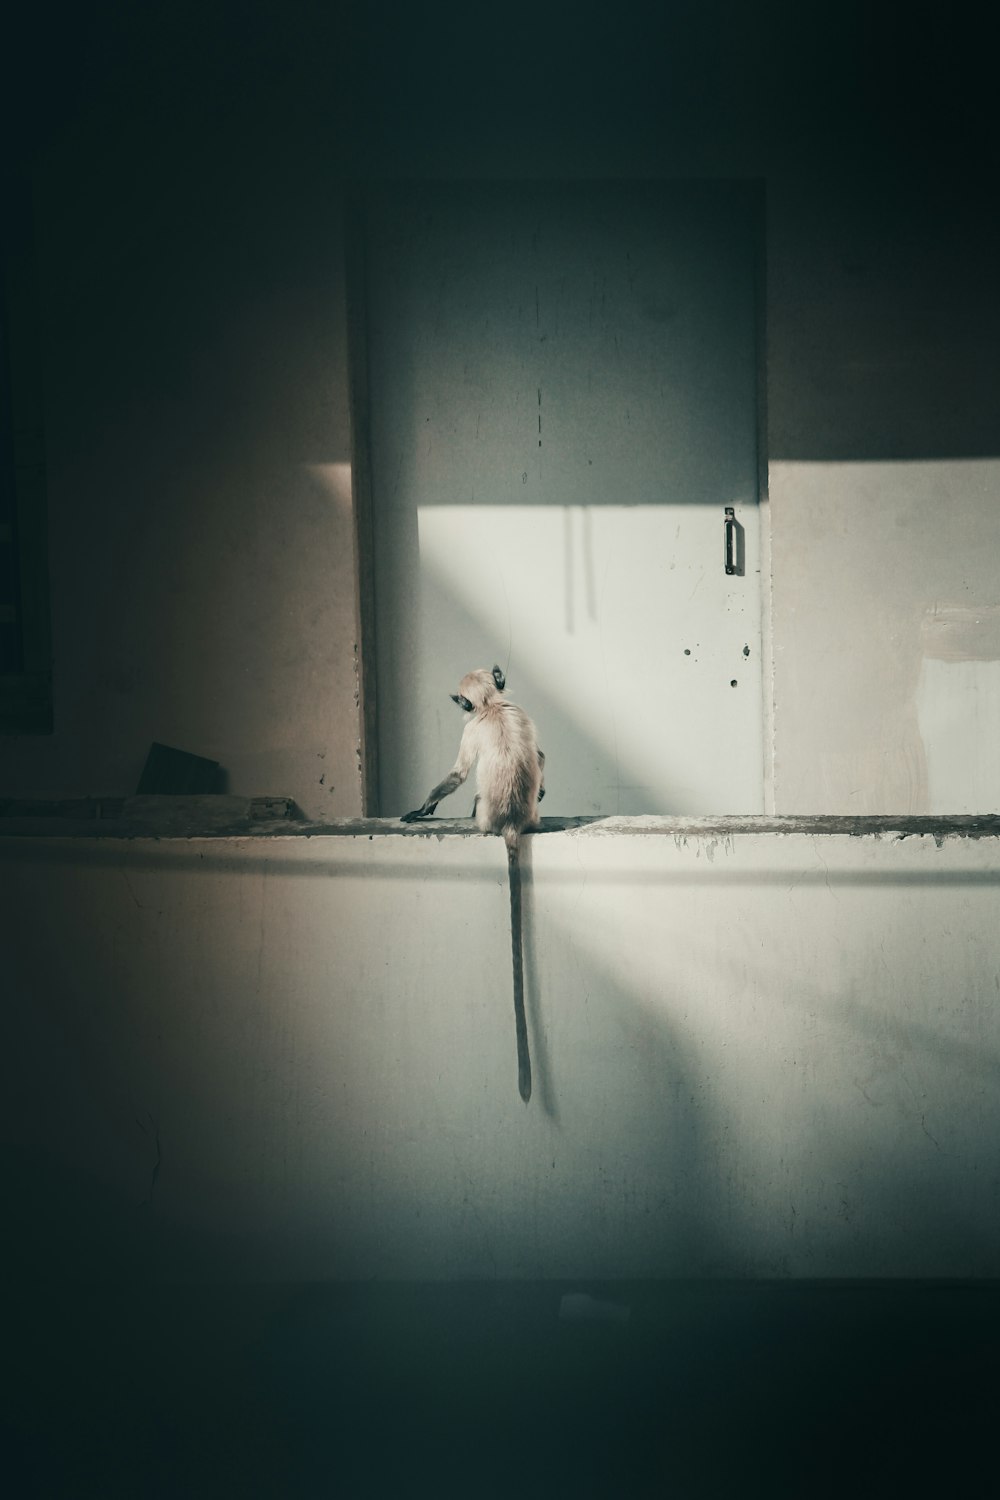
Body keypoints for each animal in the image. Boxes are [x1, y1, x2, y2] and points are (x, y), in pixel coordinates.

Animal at [401, 669, 548, 1104]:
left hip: (483, 817)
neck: (492, 707)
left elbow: (459, 775)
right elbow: (540, 755)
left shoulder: (471, 731)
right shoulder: (522, 711)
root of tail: (513, 822)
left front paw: (422, 809)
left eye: (461, 704)